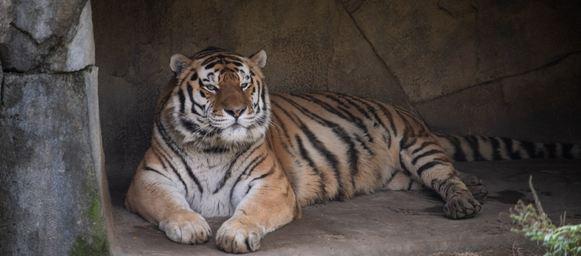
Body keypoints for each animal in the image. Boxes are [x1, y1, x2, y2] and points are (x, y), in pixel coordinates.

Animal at [123, 47, 580, 253]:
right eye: (212, 86)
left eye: (246, 84)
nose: (236, 111)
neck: (214, 147)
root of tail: (408, 113)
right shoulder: (148, 180)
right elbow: (171, 205)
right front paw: (190, 226)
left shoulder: (272, 185)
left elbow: (250, 211)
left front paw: (234, 233)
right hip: (402, 178)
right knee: (442, 177)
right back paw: (479, 189)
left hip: (417, 149)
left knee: (446, 176)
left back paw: (465, 202)